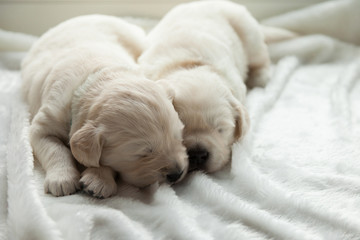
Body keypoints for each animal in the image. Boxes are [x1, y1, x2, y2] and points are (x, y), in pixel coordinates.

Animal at [21, 15, 188, 199]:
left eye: (178, 137)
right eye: (143, 154)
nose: (177, 174)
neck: (93, 78)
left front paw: (98, 180)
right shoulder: (43, 125)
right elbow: (55, 149)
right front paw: (62, 179)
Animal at [139, 0, 272, 172]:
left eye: (220, 129)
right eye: (179, 132)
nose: (197, 154)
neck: (191, 65)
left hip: (248, 33)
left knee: (260, 56)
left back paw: (260, 76)